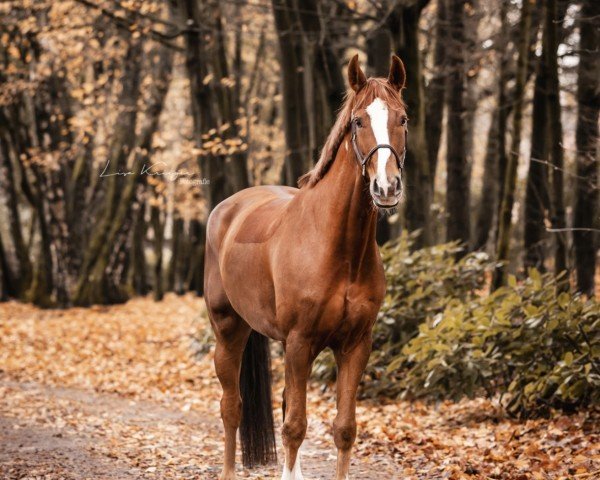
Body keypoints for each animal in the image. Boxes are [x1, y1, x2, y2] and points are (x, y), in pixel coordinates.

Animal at [205, 54, 408, 478]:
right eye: (358, 121)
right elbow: (295, 427)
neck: (339, 249)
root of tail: (228, 207)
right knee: (231, 408)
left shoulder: (355, 345)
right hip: (228, 331)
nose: (386, 188)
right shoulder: (300, 342)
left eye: (403, 118)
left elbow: (344, 428)